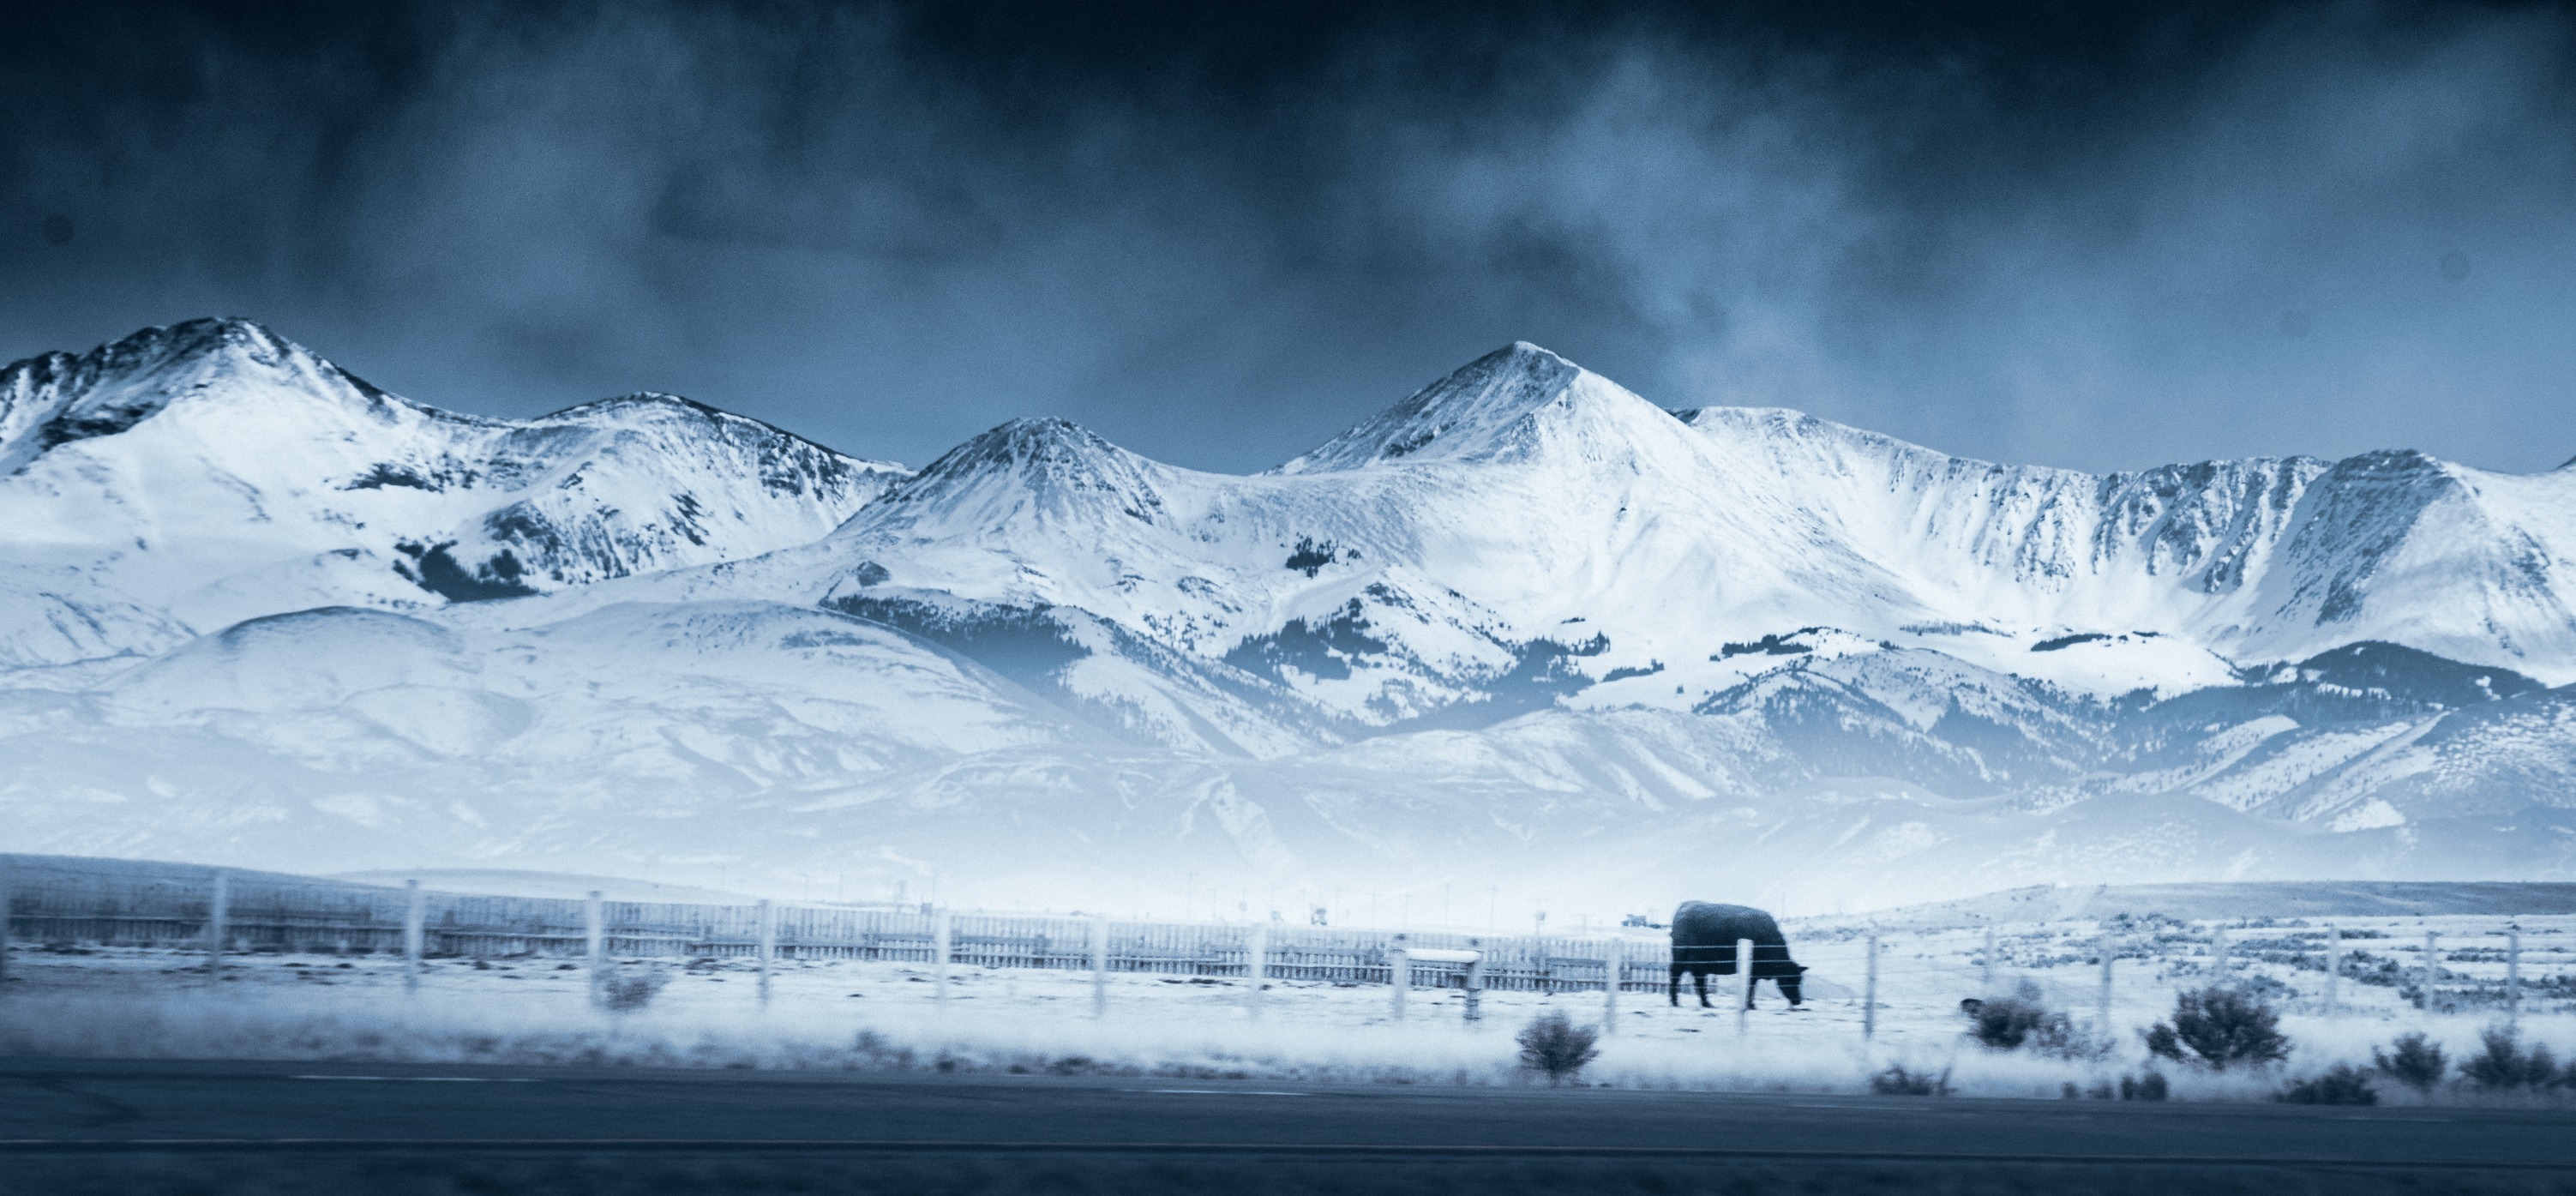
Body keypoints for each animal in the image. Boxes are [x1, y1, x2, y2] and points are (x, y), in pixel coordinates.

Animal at [1669, 902, 1813, 1005]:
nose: (1798, 1001)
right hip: (1680, 960)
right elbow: (1750, 988)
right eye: (1788, 978)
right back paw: (1675, 1002)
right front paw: (1750, 1005)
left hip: (1699, 966)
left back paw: (1706, 1003)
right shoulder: (1753, 971)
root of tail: (1683, 907)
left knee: (1699, 982)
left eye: (1799, 979)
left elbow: (1752, 988)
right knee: (1675, 976)